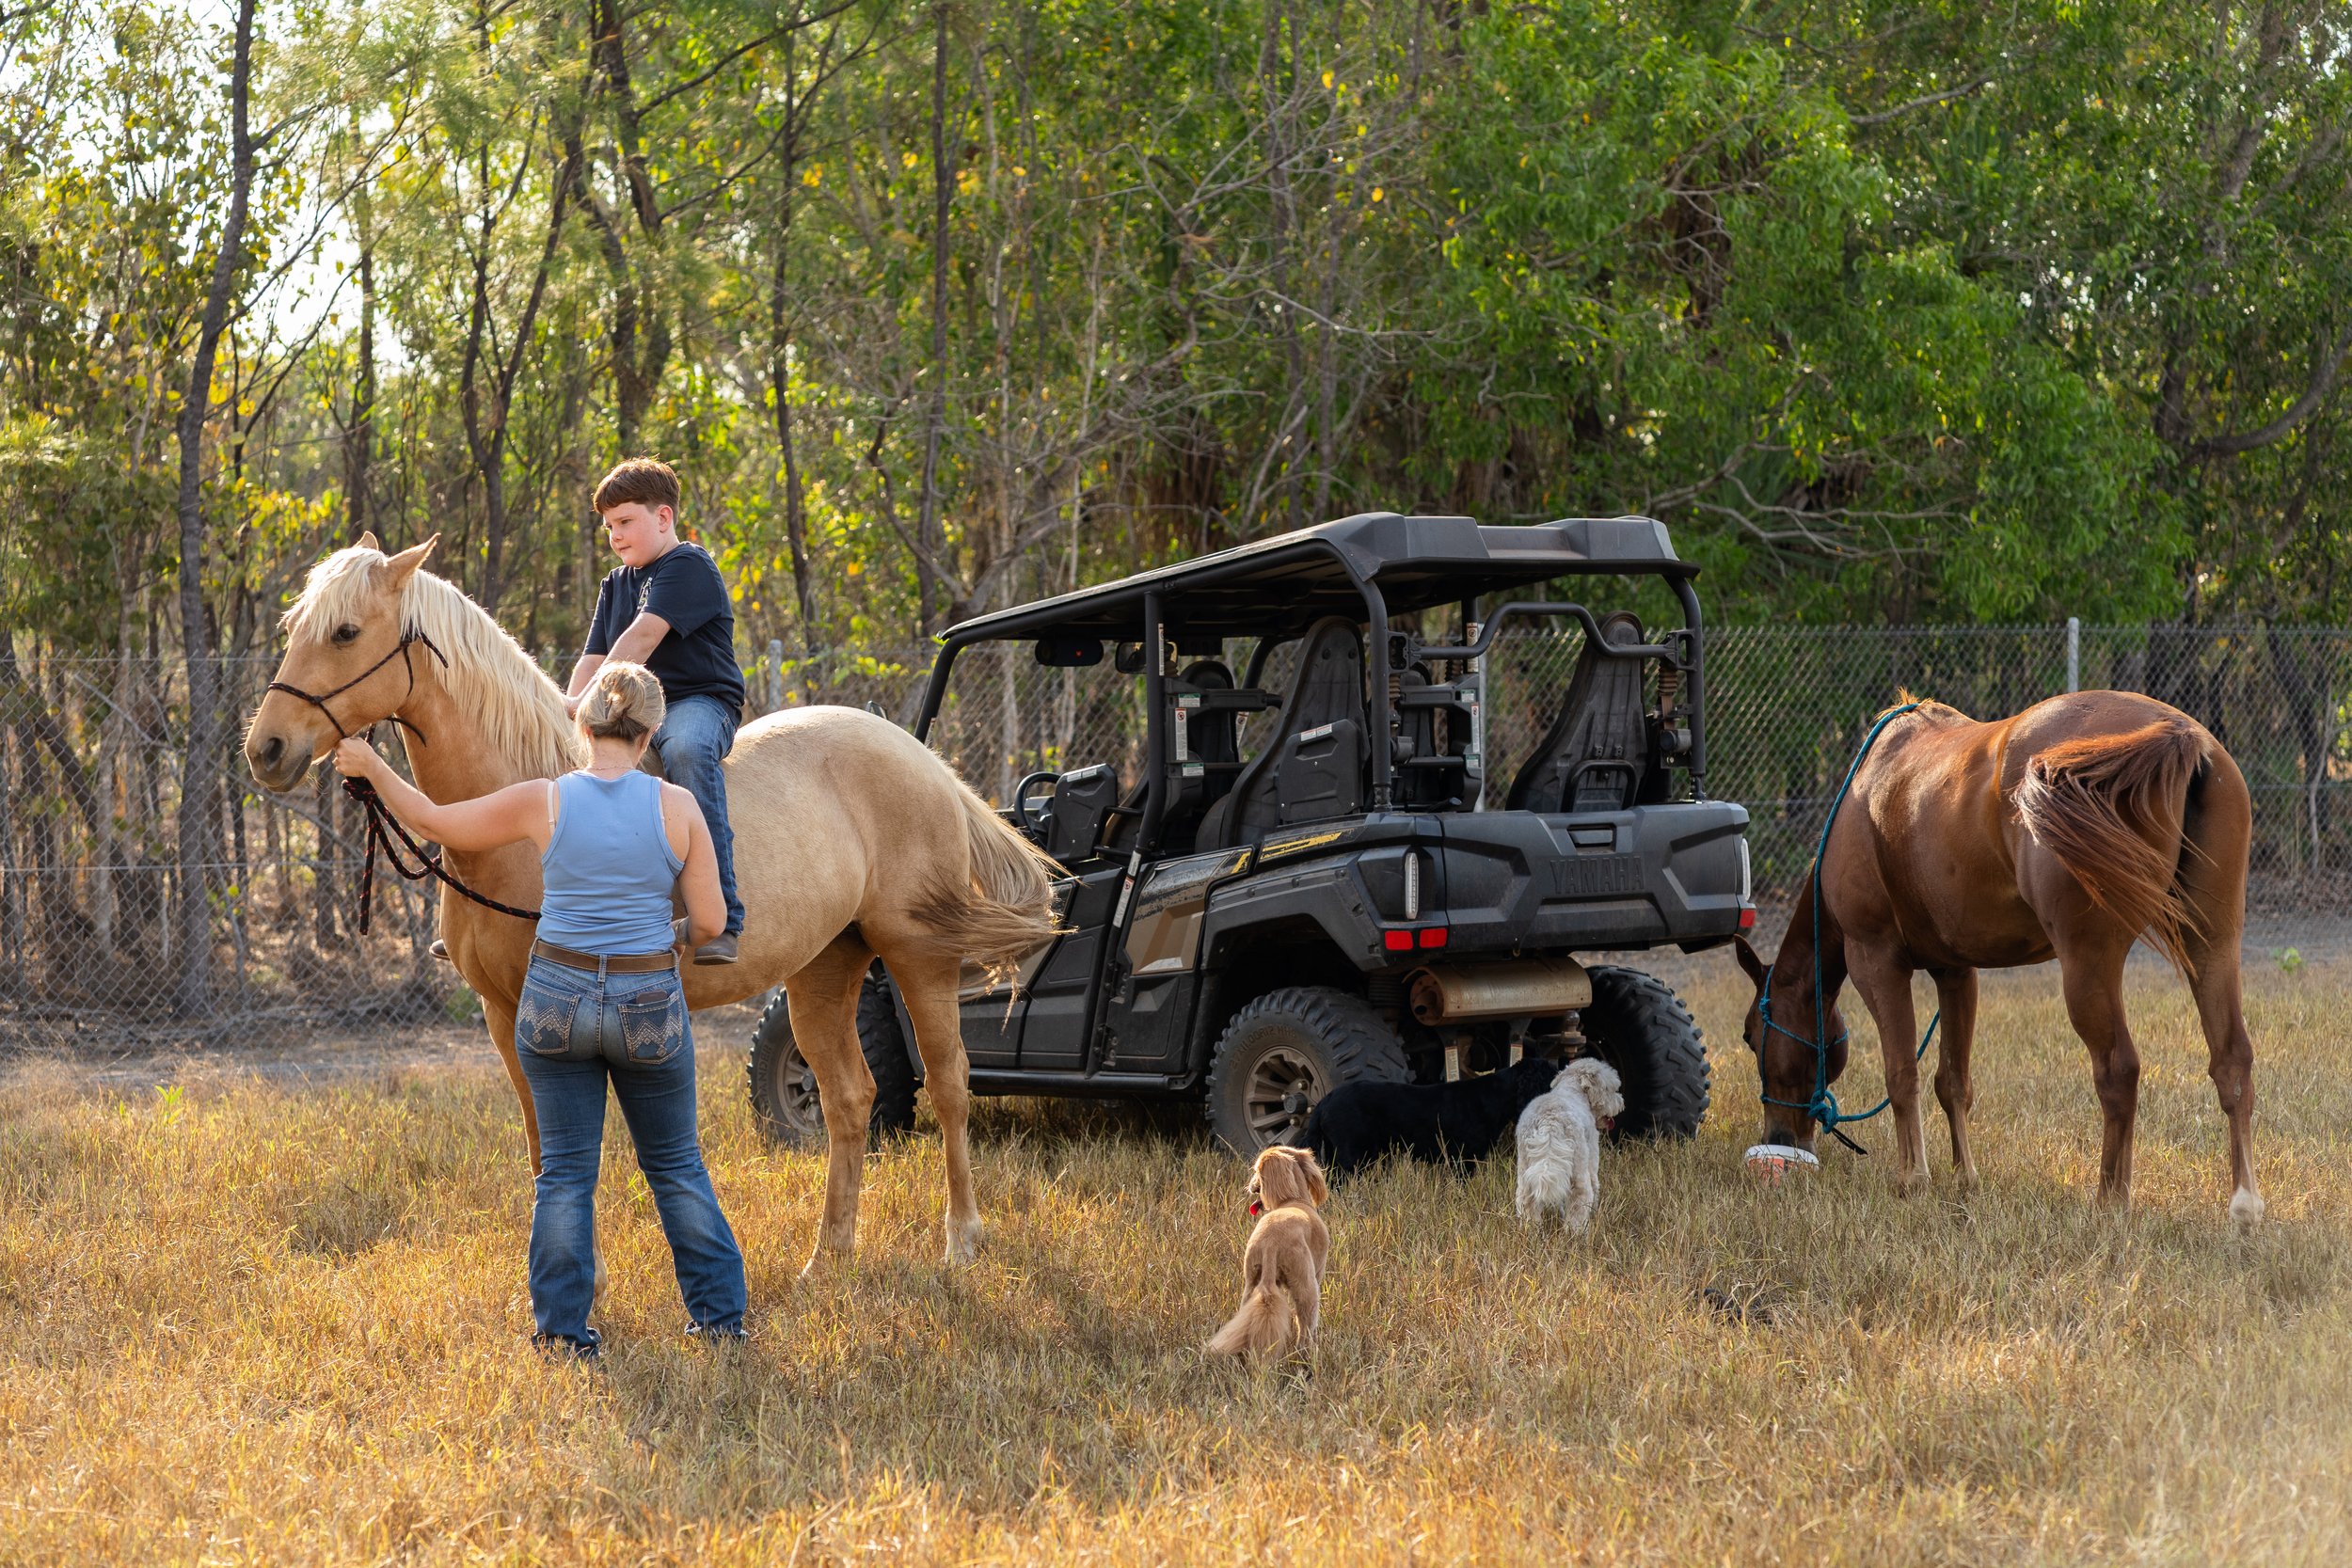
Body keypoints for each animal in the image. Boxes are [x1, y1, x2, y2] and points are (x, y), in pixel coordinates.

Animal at [242, 534, 1061, 1271]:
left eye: (346, 631)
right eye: (293, 628)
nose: (265, 749)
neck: (522, 805)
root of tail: (923, 757)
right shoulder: (507, 1017)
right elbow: (543, 1145)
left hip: (918, 955)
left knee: (950, 1085)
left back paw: (960, 1241)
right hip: (824, 968)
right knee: (851, 1099)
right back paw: (827, 1258)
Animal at [1732, 691, 2263, 1223]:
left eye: (1752, 1036)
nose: (1778, 1139)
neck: (1870, 793)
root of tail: (2178, 733)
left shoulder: (1876, 963)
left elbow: (1902, 1074)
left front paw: (1913, 1179)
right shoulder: (1955, 971)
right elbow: (1952, 1082)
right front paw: (1965, 1179)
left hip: (2089, 963)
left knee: (2119, 1070)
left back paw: (2111, 1200)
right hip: (2212, 946)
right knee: (2231, 1060)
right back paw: (2244, 1204)